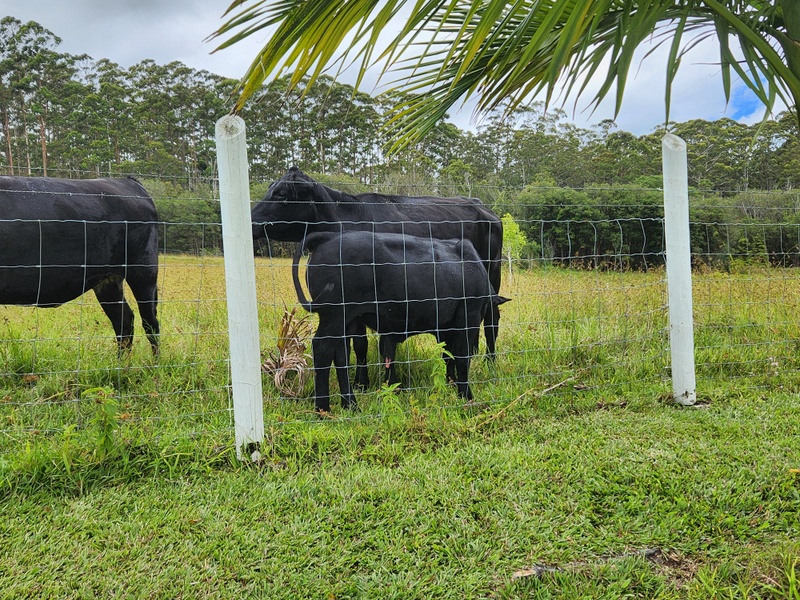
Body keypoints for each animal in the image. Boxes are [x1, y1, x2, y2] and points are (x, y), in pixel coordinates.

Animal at [0, 176, 160, 355]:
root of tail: (127, 181)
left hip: (144, 272)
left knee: (150, 322)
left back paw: (154, 362)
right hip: (109, 280)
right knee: (123, 320)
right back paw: (122, 362)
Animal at [252, 166, 504, 388]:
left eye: (282, 194)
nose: (251, 220)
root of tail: (484, 208)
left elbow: (360, 344)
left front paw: (362, 382)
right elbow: (351, 346)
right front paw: (359, 382)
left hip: (492, 275)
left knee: (492, 318)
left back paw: (490, 362)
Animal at [293, 230, 502, 412]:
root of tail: (330, 237)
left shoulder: (446, 326)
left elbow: (448, 356)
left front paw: (451, 384)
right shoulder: (469, 315)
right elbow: (462, 358)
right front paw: (466, 396)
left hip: (346, 320)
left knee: (341, 355)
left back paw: (350, 404)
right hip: (335, 315)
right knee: (323, 349)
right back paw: (323, 408)